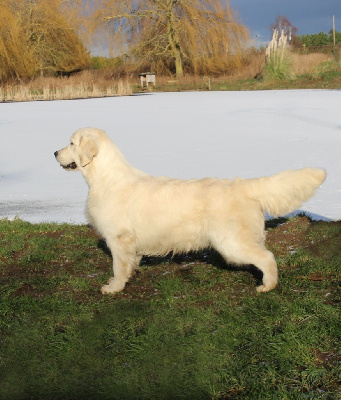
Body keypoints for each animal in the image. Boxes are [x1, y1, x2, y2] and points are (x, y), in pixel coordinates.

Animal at [54, 127, 326, 294]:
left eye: (71, 143)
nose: (54, 152)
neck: (106, 179)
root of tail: (242, 185)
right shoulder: (129, 243)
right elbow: (129, 264)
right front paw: (123, 279)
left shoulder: (118, 238)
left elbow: (118, 266)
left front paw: (114, 288)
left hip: (231, 243)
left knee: (267, 257)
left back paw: (267, 285)